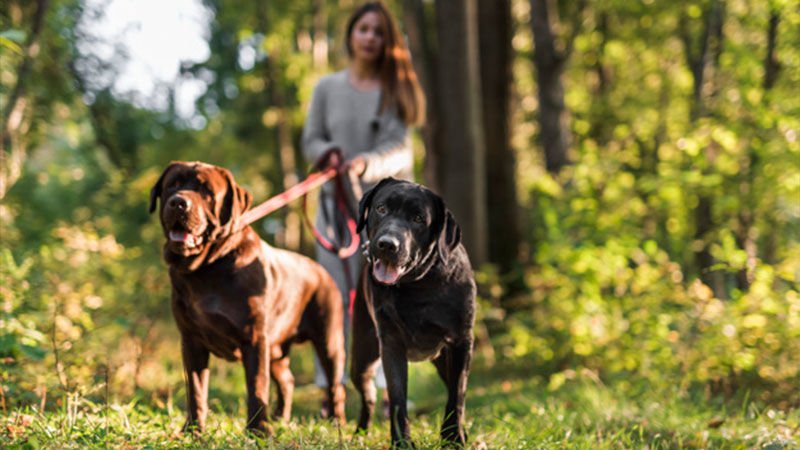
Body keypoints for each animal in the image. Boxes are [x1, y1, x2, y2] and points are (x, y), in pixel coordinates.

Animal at [150, 161, 346, 432]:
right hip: (277, 348)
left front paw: (259, 430)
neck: (206, 269)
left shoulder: (254, 338)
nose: (179, 202)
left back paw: (338, 423)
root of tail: (321, 271)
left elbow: (257, 386)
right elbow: (196, 390)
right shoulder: (191, 340)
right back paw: (281, 418)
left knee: (336, 385)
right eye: (173, 185)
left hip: (329, 340)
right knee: (287, 380)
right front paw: (192, 430)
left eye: (206, 191)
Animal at [350, 178, 476, 446]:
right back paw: (360, 433)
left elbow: (457, 395)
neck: (418, 286)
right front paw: (402, 443)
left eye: (418, 218)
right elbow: (397, 399)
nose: (387, 244)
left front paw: (454, 437)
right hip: (361, 358)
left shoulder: (461, 341)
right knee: (368, 396)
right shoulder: (391, 344)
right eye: (381, 208)